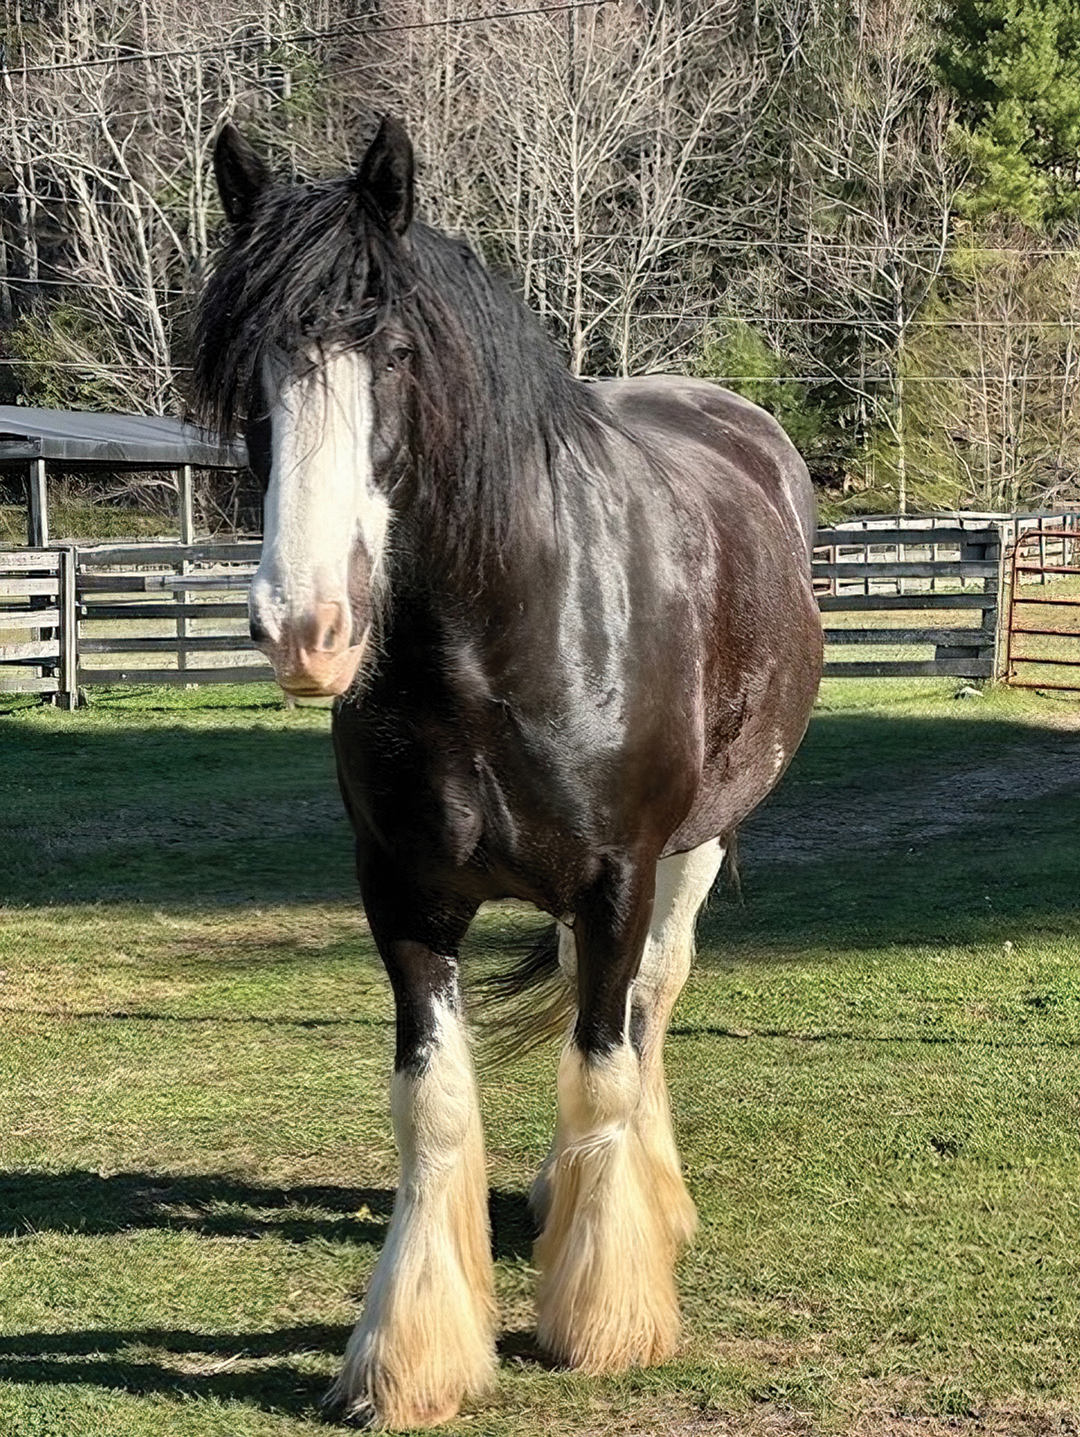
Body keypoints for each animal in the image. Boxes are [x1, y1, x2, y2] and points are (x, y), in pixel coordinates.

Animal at [193, 115, 823, 1430]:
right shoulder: (403, 897)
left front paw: (606, 1317)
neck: (504, 634)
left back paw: (644, 1203)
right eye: (248, 377)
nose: (305, 629)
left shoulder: (620, 874)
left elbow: (604, 1065)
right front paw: (411, 1354)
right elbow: (433, 1101)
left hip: (696, 848)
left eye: (390, 353)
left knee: (647, 1003)